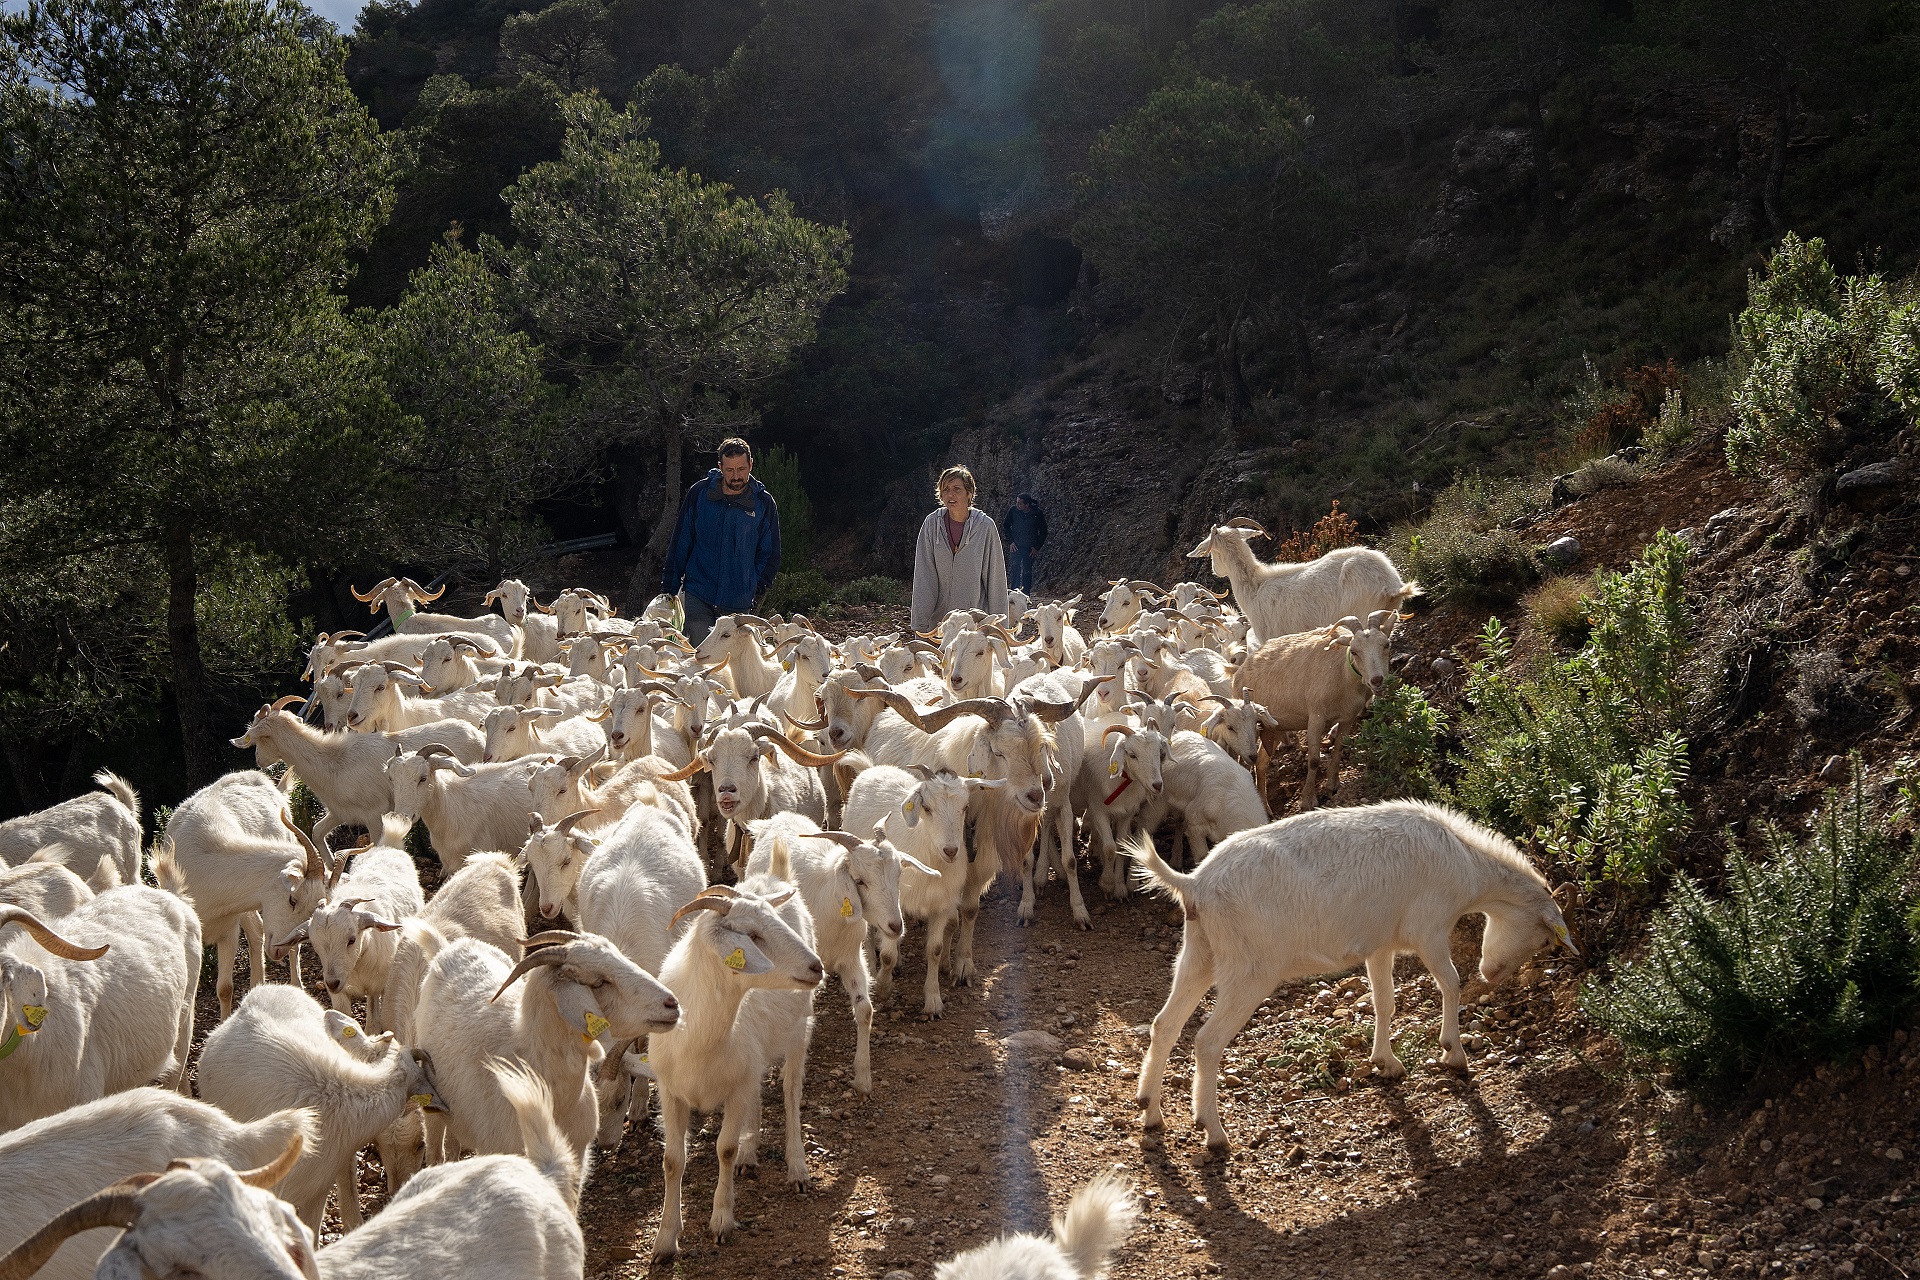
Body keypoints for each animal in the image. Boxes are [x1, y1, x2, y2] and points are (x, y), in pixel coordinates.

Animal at [648, 882, 821, 1258]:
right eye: (753, 935)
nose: (817, 968)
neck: (701, 1037)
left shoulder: (737, 1088)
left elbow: (724, 1149)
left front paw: (722, 1220)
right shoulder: (670, 1091)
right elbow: (672, 1160)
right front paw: (666, 1239)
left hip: (800, 1027)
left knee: (791, 1092)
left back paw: (797, 1166)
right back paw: (749, 1152)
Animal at [1121, 802, 1574, 1151]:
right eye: (1542, 940)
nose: (1492, 974)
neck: (1466, 865)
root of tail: (1194, 883)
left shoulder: (1380, 944)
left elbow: (1385, 1001)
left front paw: (1385, 1062)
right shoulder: (1429, 929)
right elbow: (1450, 982)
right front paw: (1454, 1054)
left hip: (1199, 953)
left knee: (1165, 1024)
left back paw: (1151, 1110)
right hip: (1249, 969)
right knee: (1207, 1041)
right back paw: (1213, 1132)